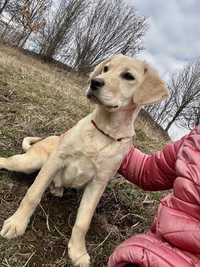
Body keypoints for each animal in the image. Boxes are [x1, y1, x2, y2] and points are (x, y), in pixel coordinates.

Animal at [0, 55, 169, 267]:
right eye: (105, 69)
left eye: (128, 76)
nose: (94, 82)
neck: (104, 132)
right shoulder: (56, 160)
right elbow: (32, 195)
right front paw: (17, 224)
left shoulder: (98, 183)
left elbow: (83, 221)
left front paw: (78, 252)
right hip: (31, 162)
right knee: (5, 161)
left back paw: (57, 189)